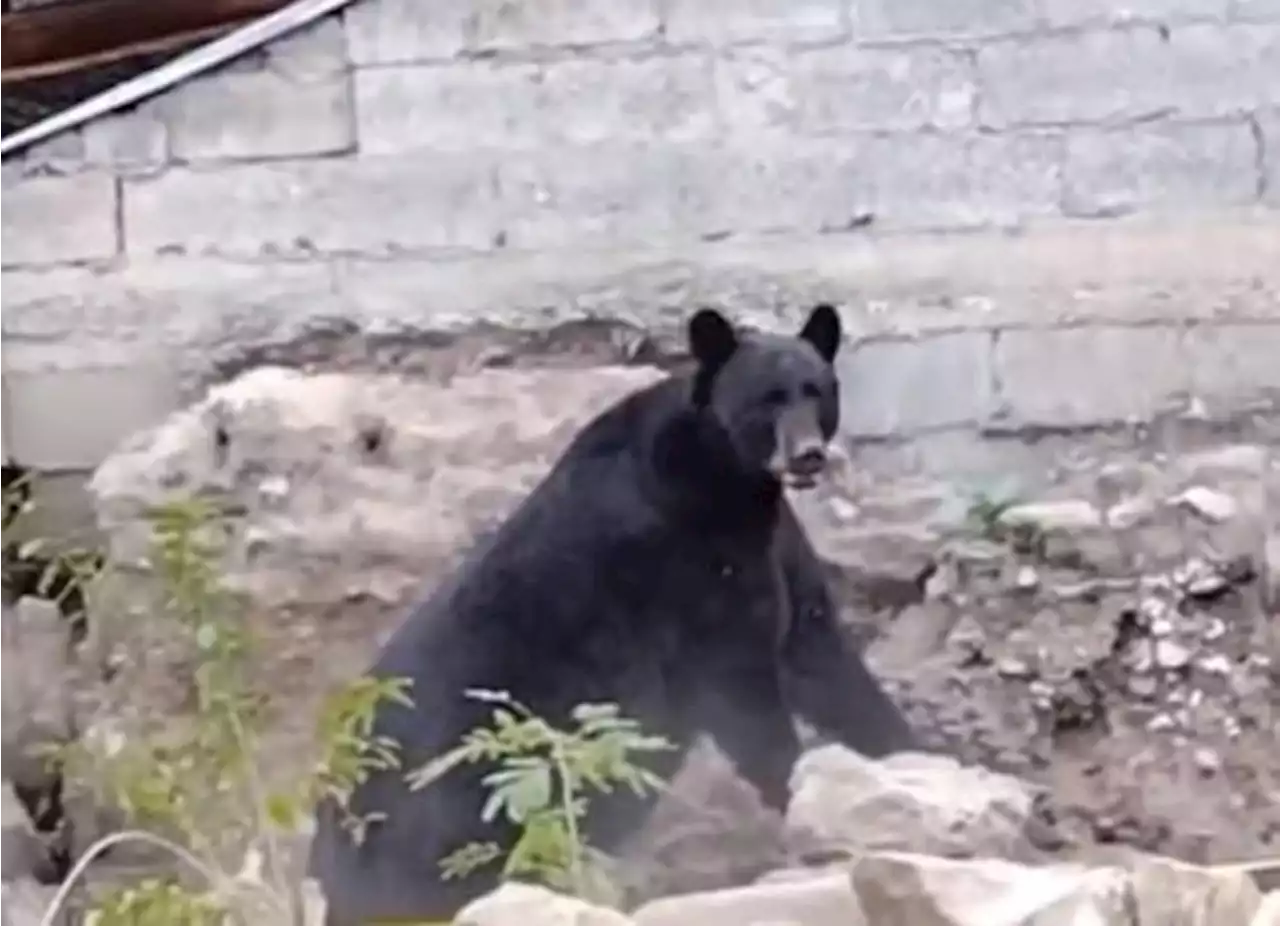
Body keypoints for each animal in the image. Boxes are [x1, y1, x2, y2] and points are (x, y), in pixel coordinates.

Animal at [305, 302, 916, 922]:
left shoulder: (772, 546)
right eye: (766, 399)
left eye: (817, 391)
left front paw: (903, 761)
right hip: (452, 793)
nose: (807, 454)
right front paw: (797, 791)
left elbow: (822, 659)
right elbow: (739, 688)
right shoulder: (682, 570)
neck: (730, 484)